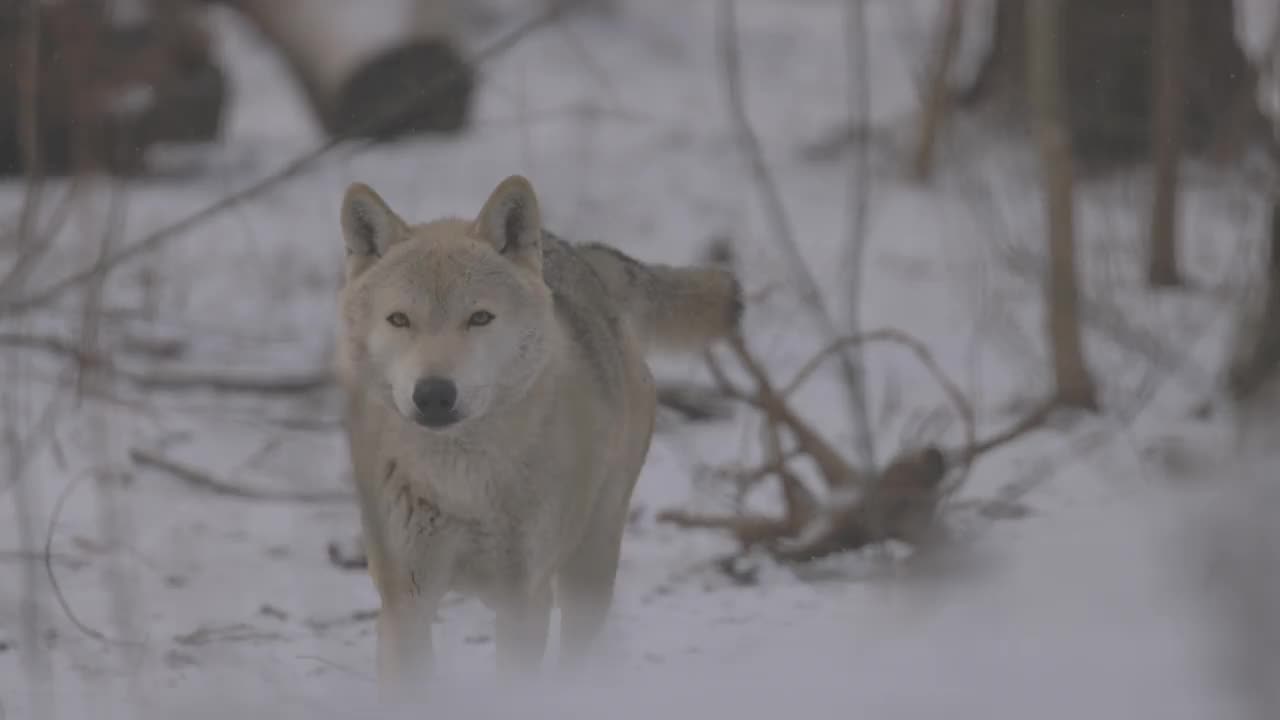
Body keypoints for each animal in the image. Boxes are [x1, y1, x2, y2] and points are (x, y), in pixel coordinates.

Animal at [335, 174, 747, 691]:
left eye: (479, 318)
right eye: (399, 319)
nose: (433, 394)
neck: (460, 479)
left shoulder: (523, 599)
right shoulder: (403, 600)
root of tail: (580, 253)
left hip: (588, 570)